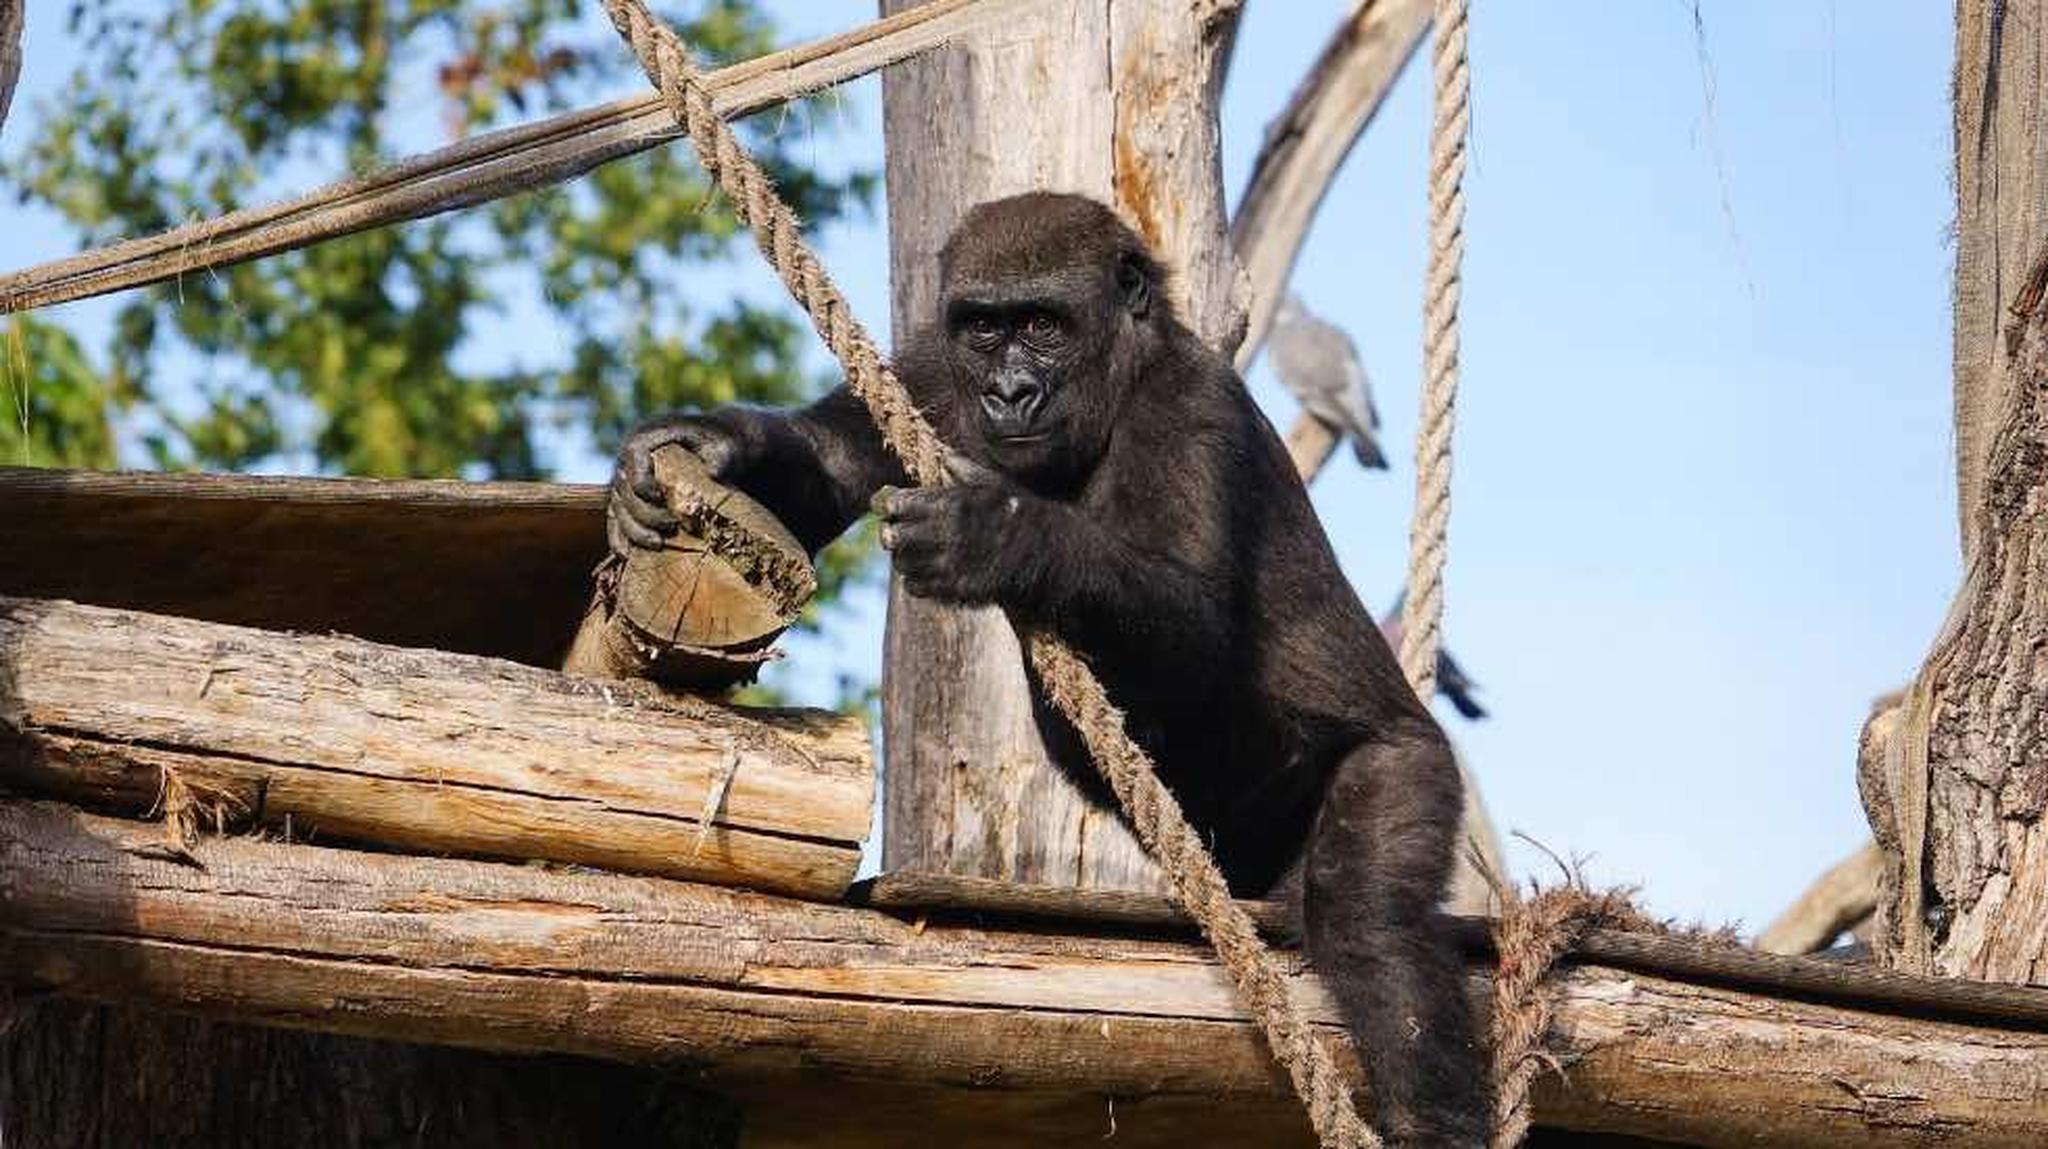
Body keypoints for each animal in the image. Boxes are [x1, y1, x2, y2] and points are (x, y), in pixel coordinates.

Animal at [608, 192, 1488, 1146]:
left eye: (1043, 325)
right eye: (986, 330)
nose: (1010, 391)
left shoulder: (1193, 407)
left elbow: (1194, 619)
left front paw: (1001, 536)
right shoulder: (932, 367)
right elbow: (832, 460)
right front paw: (704, 444)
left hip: (1411, 761)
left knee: (1370, 922)